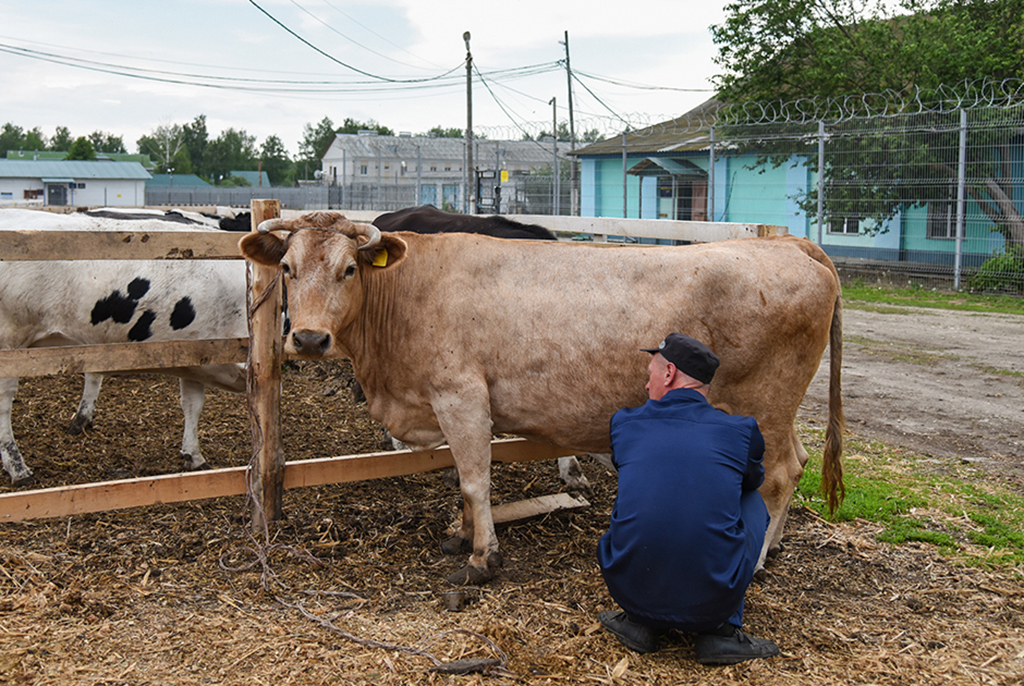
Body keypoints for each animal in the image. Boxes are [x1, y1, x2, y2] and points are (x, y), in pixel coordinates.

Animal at [0, 206, 247, 487]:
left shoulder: (197, 356)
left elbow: (192, 404)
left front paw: (193, 455)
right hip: (9, 341)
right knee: (4, 402)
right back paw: (17, 467)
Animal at [237, 213, 839, 585]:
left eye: (348, 269)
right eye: (287, 268)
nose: (308, 339)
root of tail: (789, 242)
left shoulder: (461, 395)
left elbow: (474, 480)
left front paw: (482, 557)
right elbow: (465, 480)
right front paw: (462, 535)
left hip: (765, 400)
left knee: (778, 477)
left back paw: (755, 564)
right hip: (772, 412)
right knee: (799, 461)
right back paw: (773, 546)